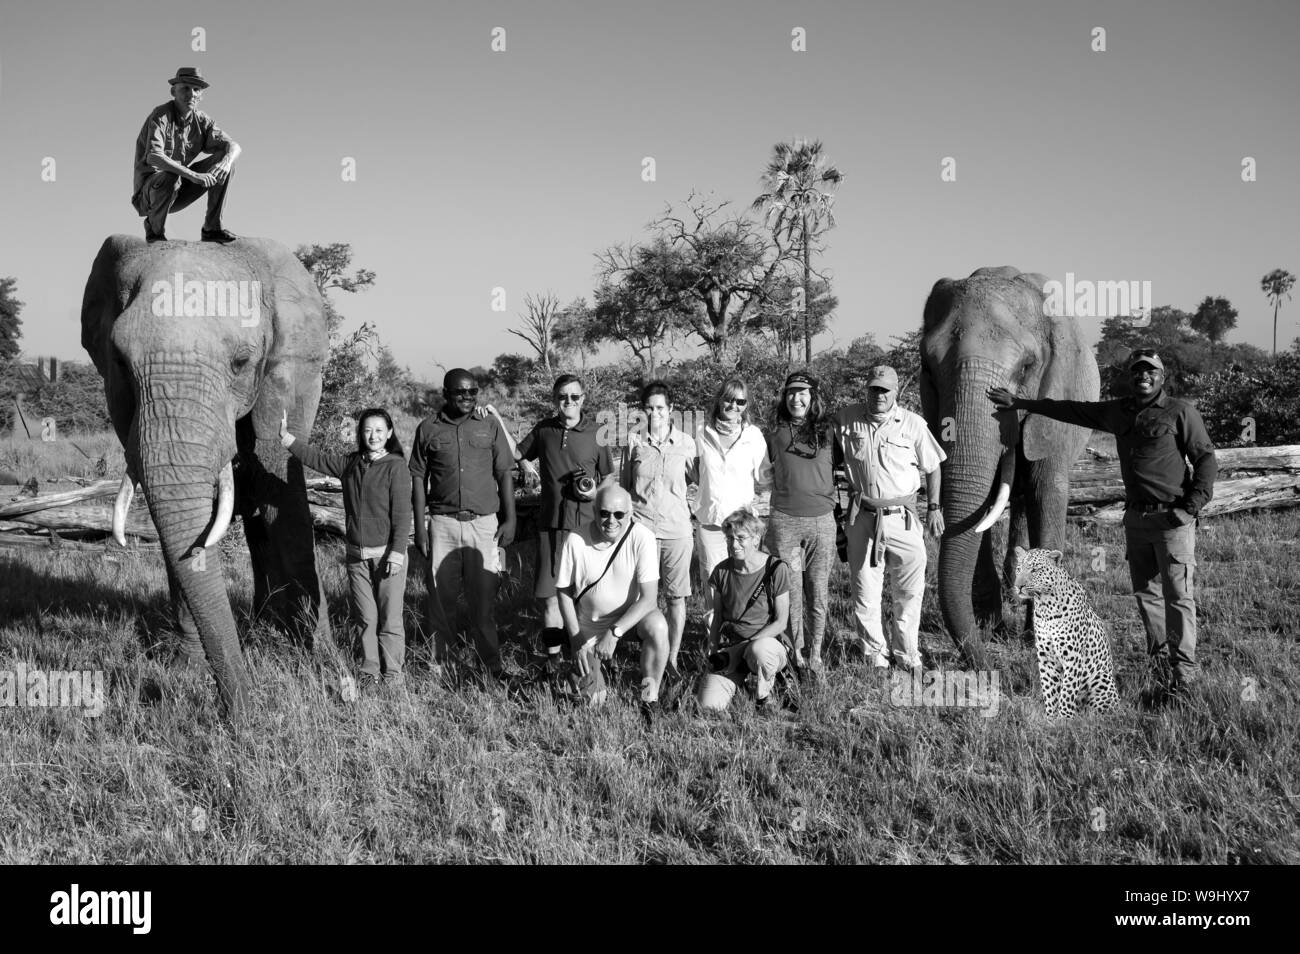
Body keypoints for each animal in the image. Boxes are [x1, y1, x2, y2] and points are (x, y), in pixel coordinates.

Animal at [81, 237, 330, 717]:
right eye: (119, 360)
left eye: (241, 362)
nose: (244, 714)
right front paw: (187, 669)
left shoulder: (291, 364)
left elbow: (276, 475)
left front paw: (318, 655)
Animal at [920, 267, 1102, 670]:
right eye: (930, 366)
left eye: (1027, 367)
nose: (987, 666)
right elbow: (980, 510)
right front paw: (991, 627)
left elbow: (1047, 492)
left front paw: (1038, 634)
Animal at [1013, 545, 1118, 717]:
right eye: (1018, 569)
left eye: (1035, 570)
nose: (1018, 586)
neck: (1045, 606)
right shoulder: (1046, 658)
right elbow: (1049, 691)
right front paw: (1050, 718)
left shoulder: (1073, 658)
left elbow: (1067, 692)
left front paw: (1064, 719)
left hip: (1101, 679)